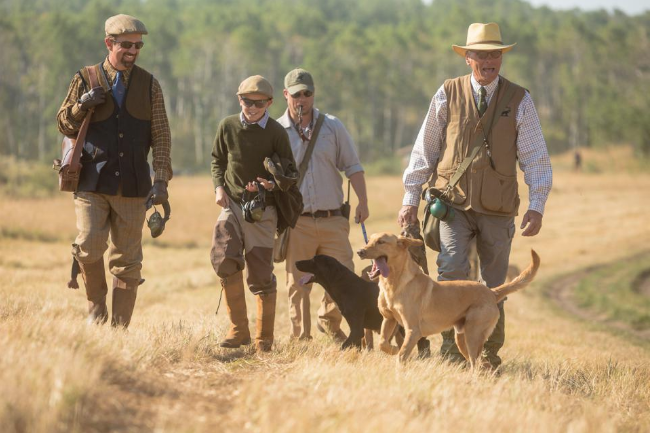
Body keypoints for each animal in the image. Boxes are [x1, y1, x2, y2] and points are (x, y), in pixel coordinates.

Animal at [294, 255, 428, 356]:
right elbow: (355, 347)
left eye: (313, 260)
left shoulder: (357, 329)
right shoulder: (357, 329)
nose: (296, 262)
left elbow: (343, 346)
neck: (345, 286)